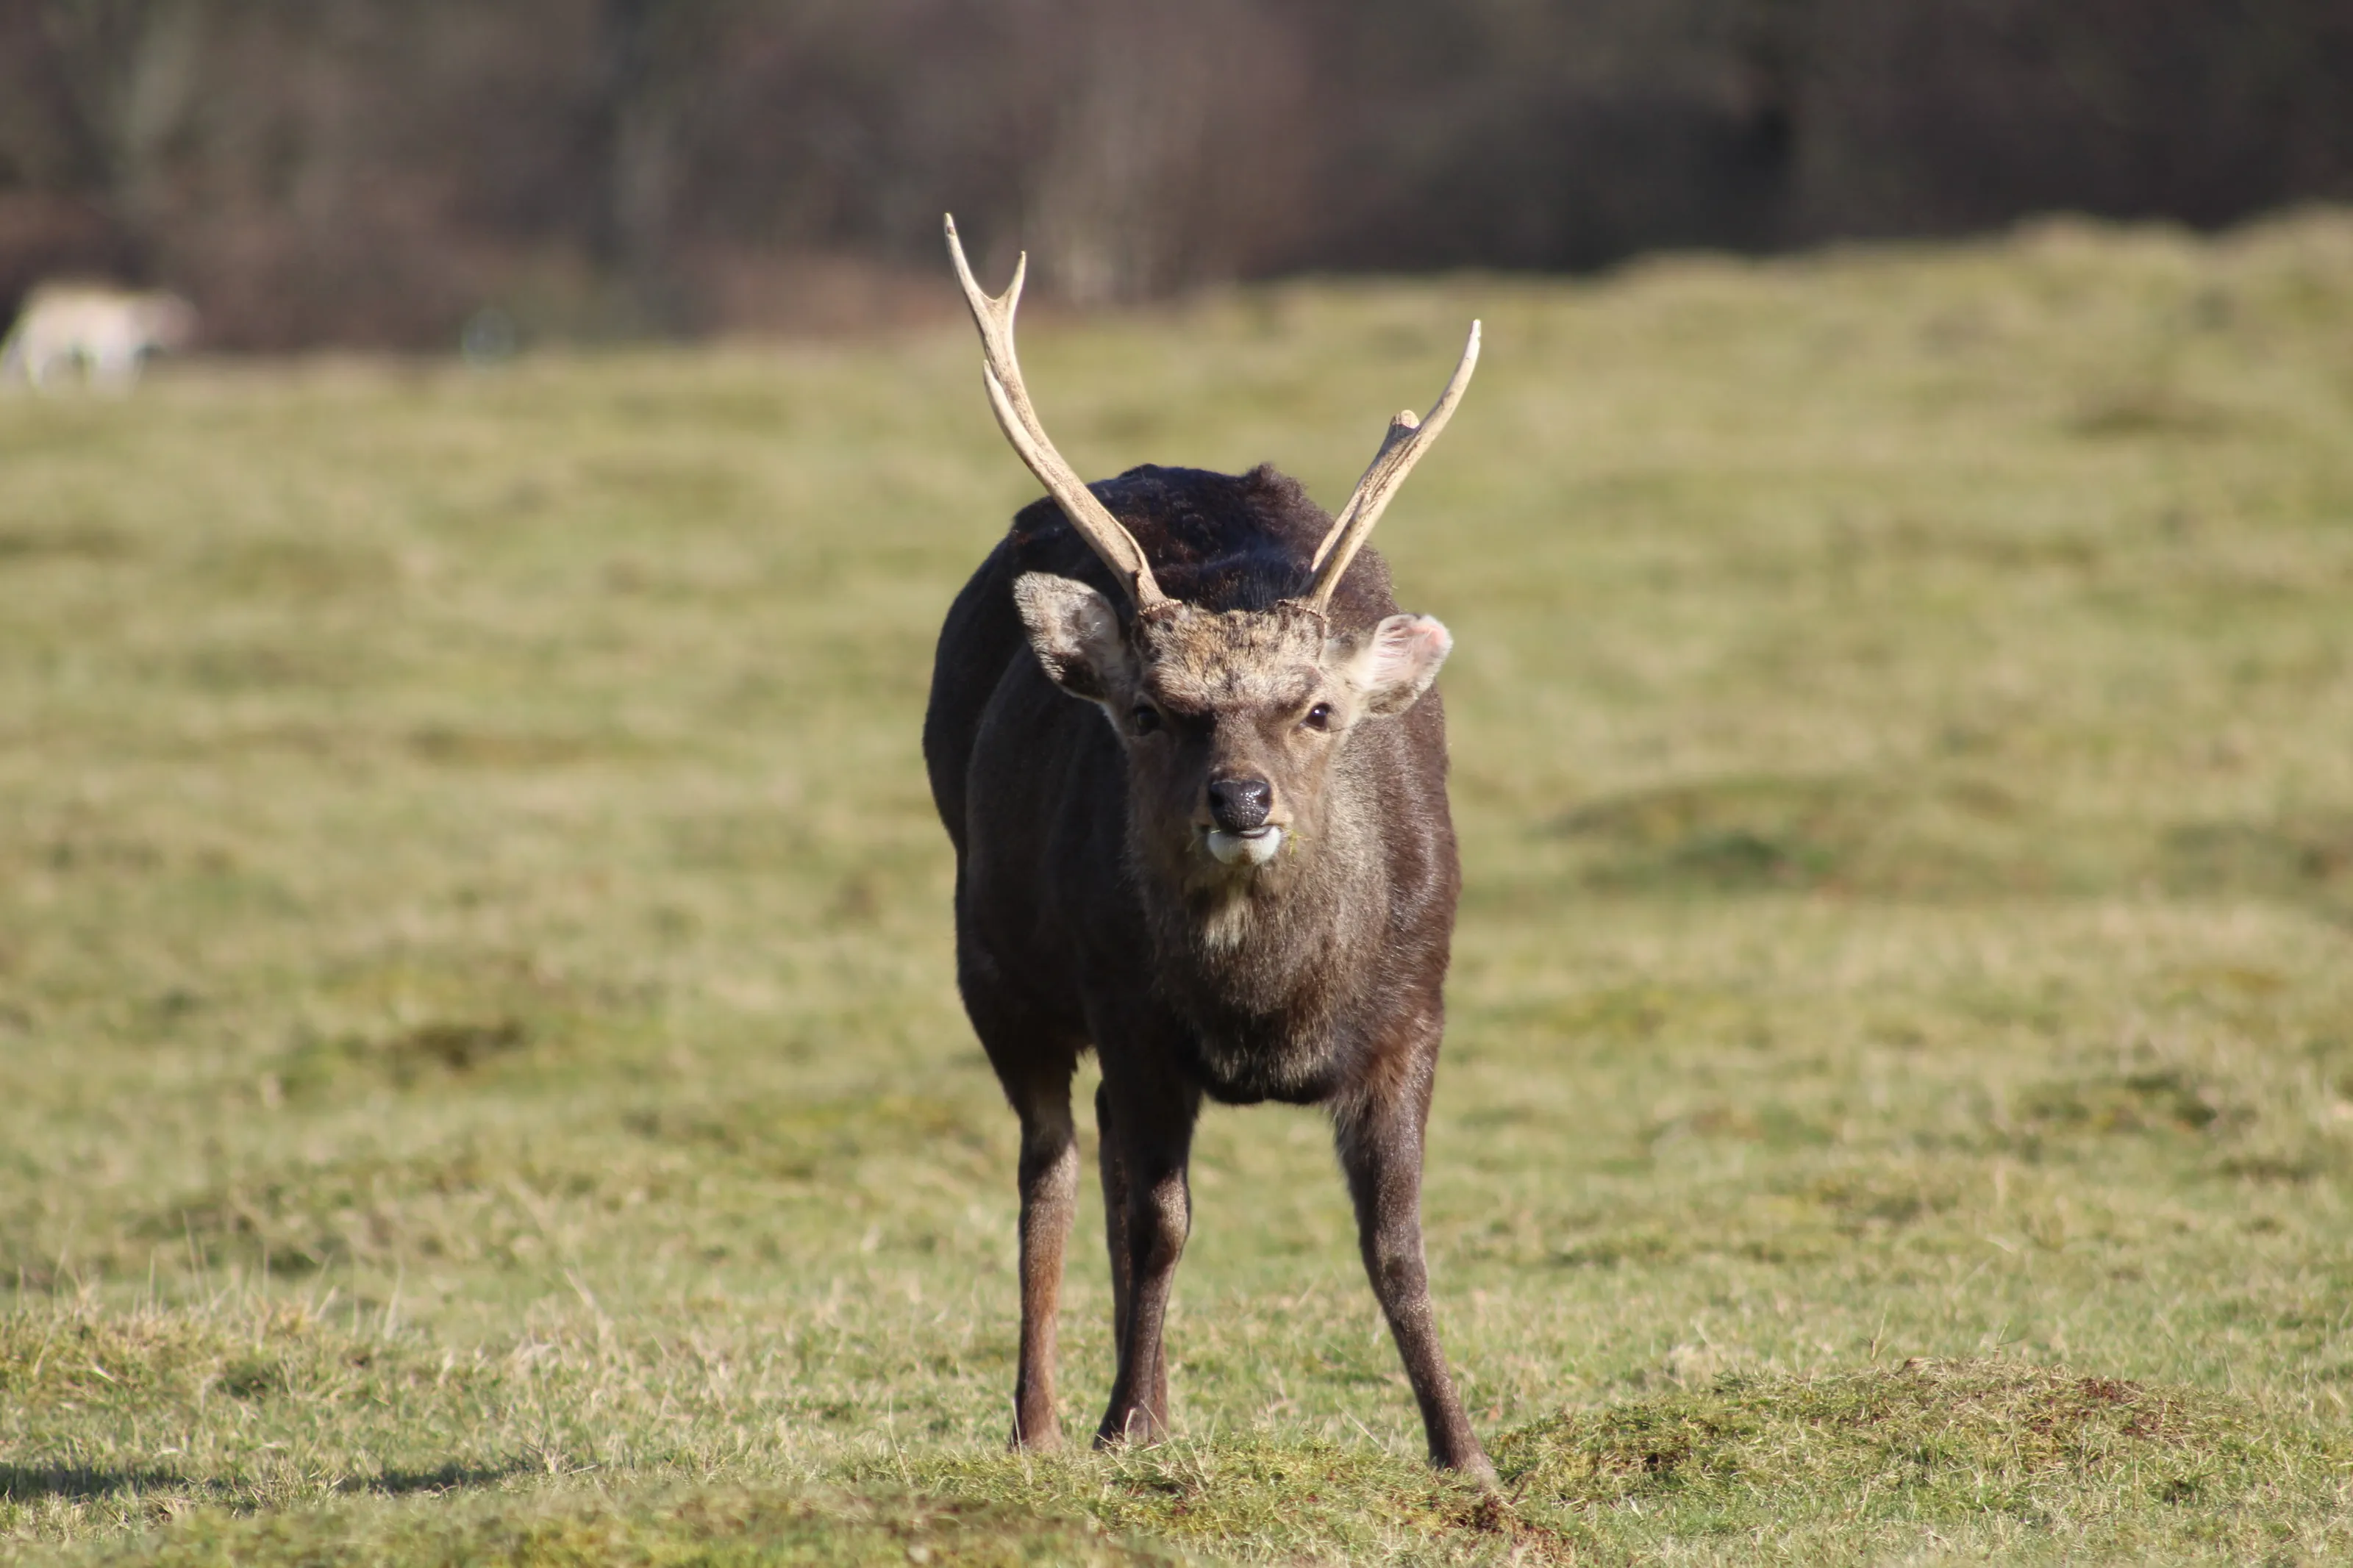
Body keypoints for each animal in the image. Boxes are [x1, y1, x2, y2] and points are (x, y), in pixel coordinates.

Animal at [923, 216, 1493, 1484]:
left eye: (1318, 710)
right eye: (1151, 711)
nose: (1240, 797)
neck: (1267, 1012)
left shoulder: (1416, 1008)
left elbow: (1398, 1242)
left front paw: (1464, 1449)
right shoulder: (1129, 1006)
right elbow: (1158, 1221)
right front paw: (1124, 1423)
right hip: (992, 961)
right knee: (1054, 1167)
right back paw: (1043, 1423)